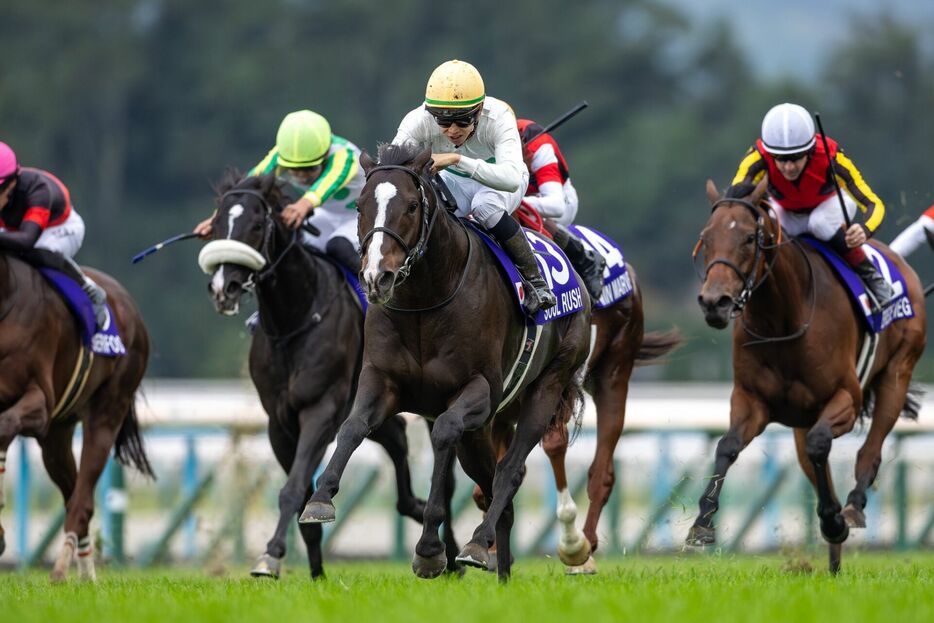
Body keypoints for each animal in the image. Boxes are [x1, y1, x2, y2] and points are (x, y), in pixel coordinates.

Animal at [201, 172, 436, 580]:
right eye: (217, 225)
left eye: (256, 224)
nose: (222, 287)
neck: (294, 319)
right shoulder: (279, 422)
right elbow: (299, 494)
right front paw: (315, 572)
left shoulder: (320, 410)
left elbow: (295, 488)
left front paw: (271, 555)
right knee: (397, 441)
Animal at [300, 144, 592, 584]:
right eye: (360, 206)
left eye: (411, 205)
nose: (376, 278)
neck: (425, 301)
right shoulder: (381, 381)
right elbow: (352, 427)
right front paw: (320, 499)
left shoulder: (478, 392)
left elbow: (443, 434)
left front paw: (430, 550)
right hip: (480, 435)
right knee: (497, 484)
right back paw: (501, 572)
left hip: (547, 385)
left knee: (510, 470)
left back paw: (477, 543)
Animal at [692, 178, 924, 572]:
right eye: (706, 238)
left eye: (749, 239)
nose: (714, 302)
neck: (783, 318)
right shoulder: (751, 401)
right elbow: (728, 446)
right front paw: (702, 522)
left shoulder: (846, 399)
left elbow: (822, 447)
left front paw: (834, 518)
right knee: (816, 464)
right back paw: (833, 561)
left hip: (897, 372)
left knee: (871, 449)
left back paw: (852, 509)